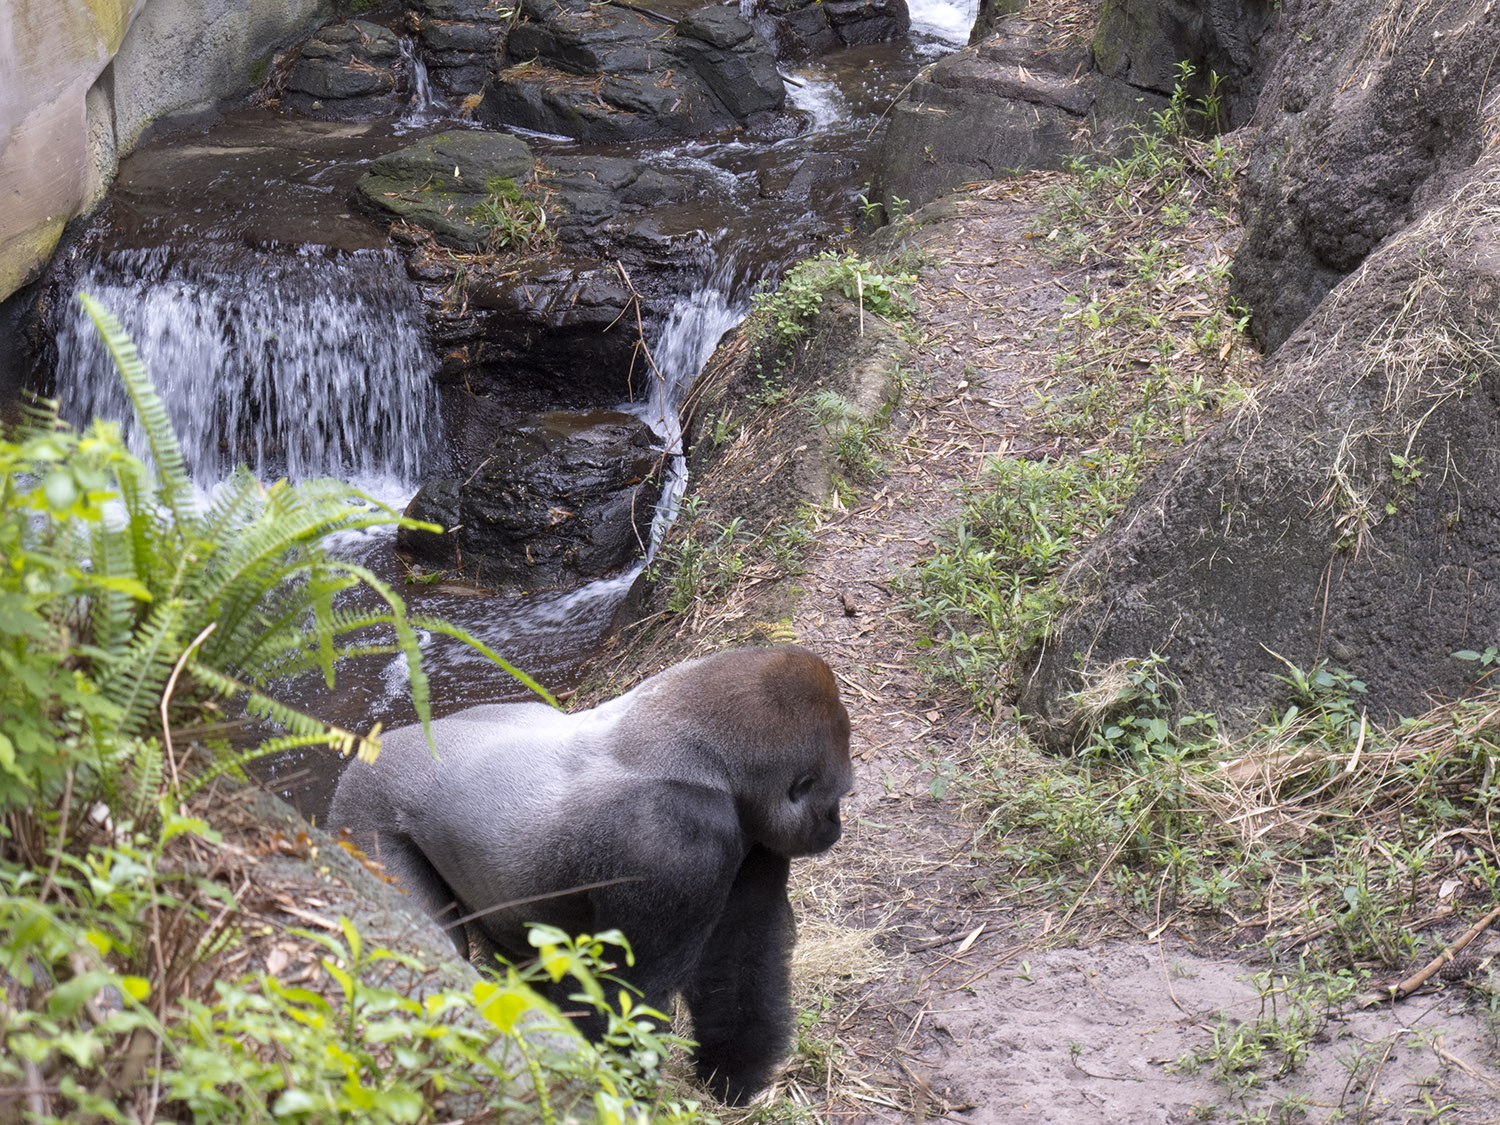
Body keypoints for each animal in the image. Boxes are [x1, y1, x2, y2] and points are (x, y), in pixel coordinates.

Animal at [325, 648, 858, 1104]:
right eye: (837, 796)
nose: (833, 826)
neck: (708, 761)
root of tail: (372, 745)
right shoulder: (673, 841)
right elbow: (621, 996)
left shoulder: (752, 836)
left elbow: (740, 954)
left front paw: (733, 1073)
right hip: (361, 813)